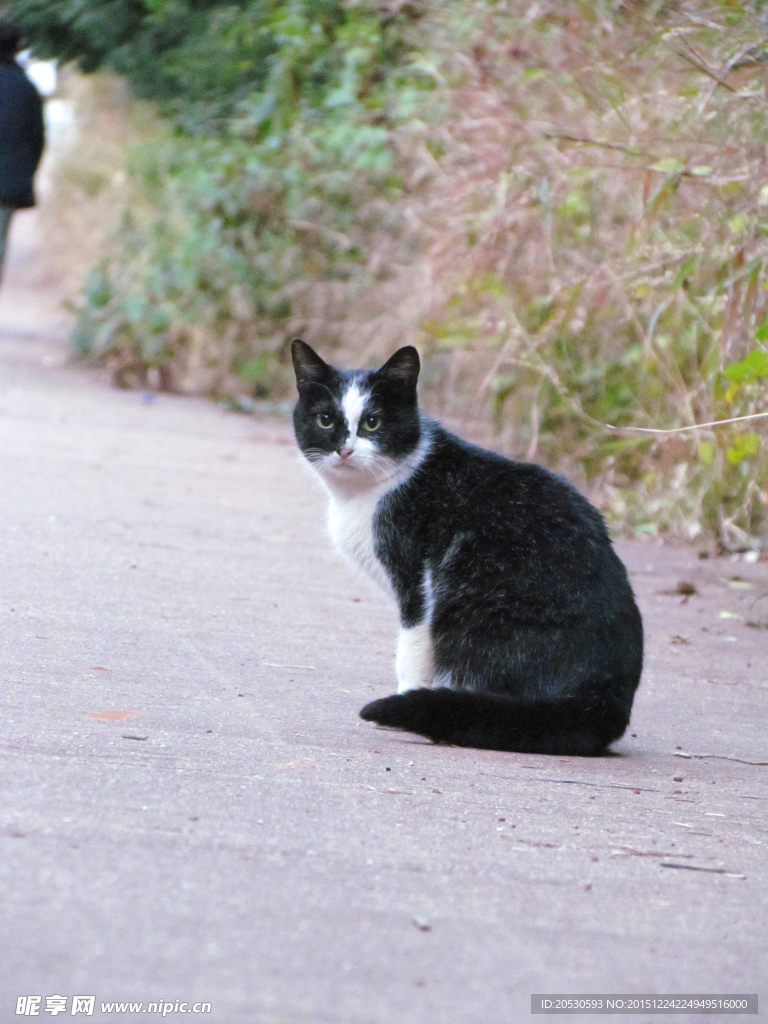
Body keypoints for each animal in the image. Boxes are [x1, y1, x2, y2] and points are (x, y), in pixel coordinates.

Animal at [290, 339, 643, 757]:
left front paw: (408, 694)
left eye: (372, 422)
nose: (344, 449)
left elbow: (412, 648)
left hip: (472, 600)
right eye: (326, 420)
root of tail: (605, 695)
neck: (365, 494)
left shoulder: (416, 580)